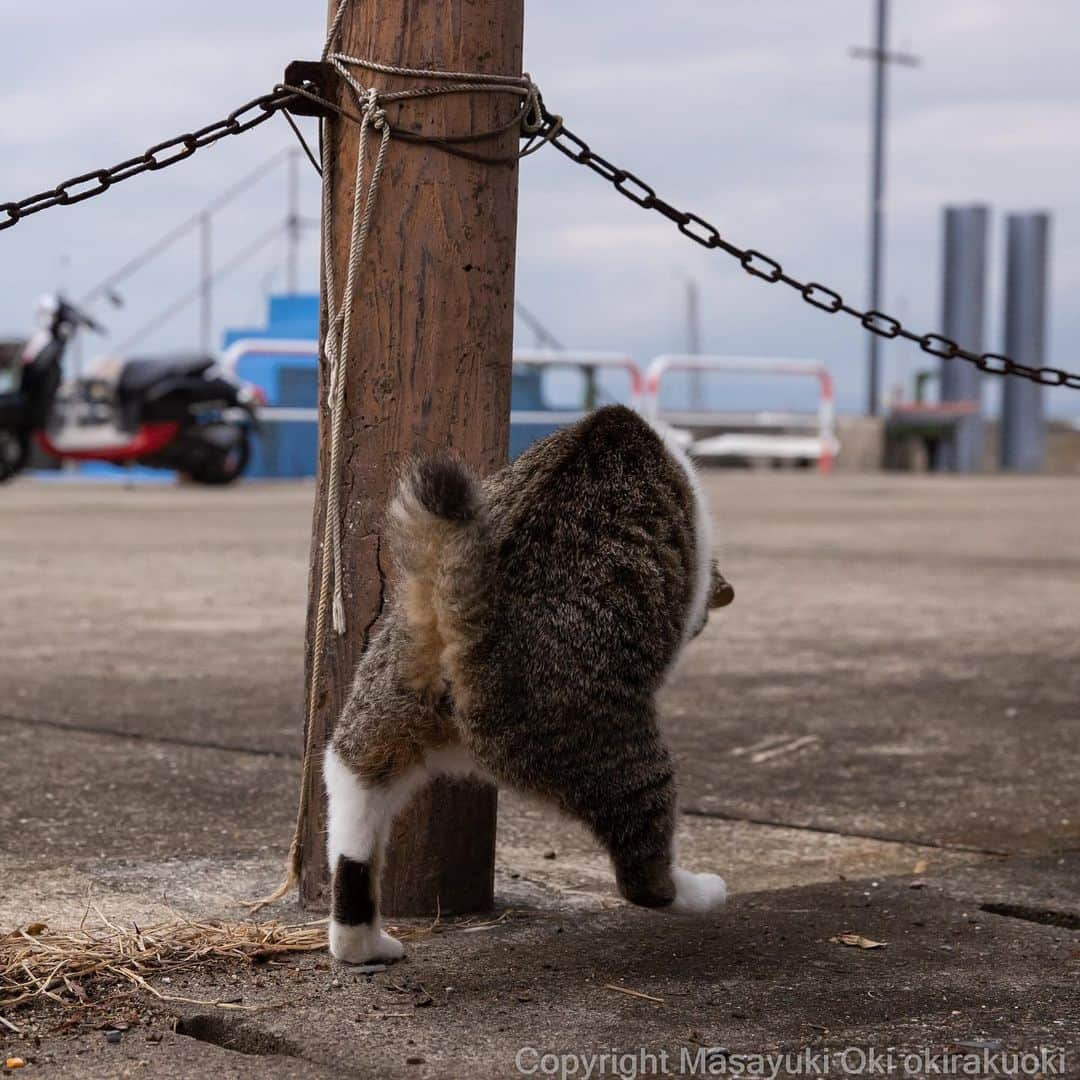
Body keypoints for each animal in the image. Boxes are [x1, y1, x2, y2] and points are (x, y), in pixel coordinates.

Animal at [326, 406, 734, 963]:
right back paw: (697, 892)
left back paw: (362, 945)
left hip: (368, 730)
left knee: (354, 835)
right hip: (613, 754)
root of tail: (464, 632)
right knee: (643, 875)